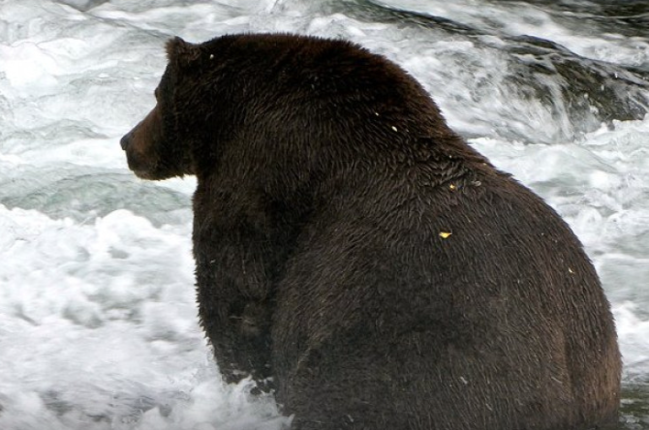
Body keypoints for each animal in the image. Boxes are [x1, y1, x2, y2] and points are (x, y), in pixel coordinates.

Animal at [119, 33, 620, 430]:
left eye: (157, 94)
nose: (127, 142)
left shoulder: (254, 182)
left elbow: (236, 293)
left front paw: (244, 384)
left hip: (409, 363)